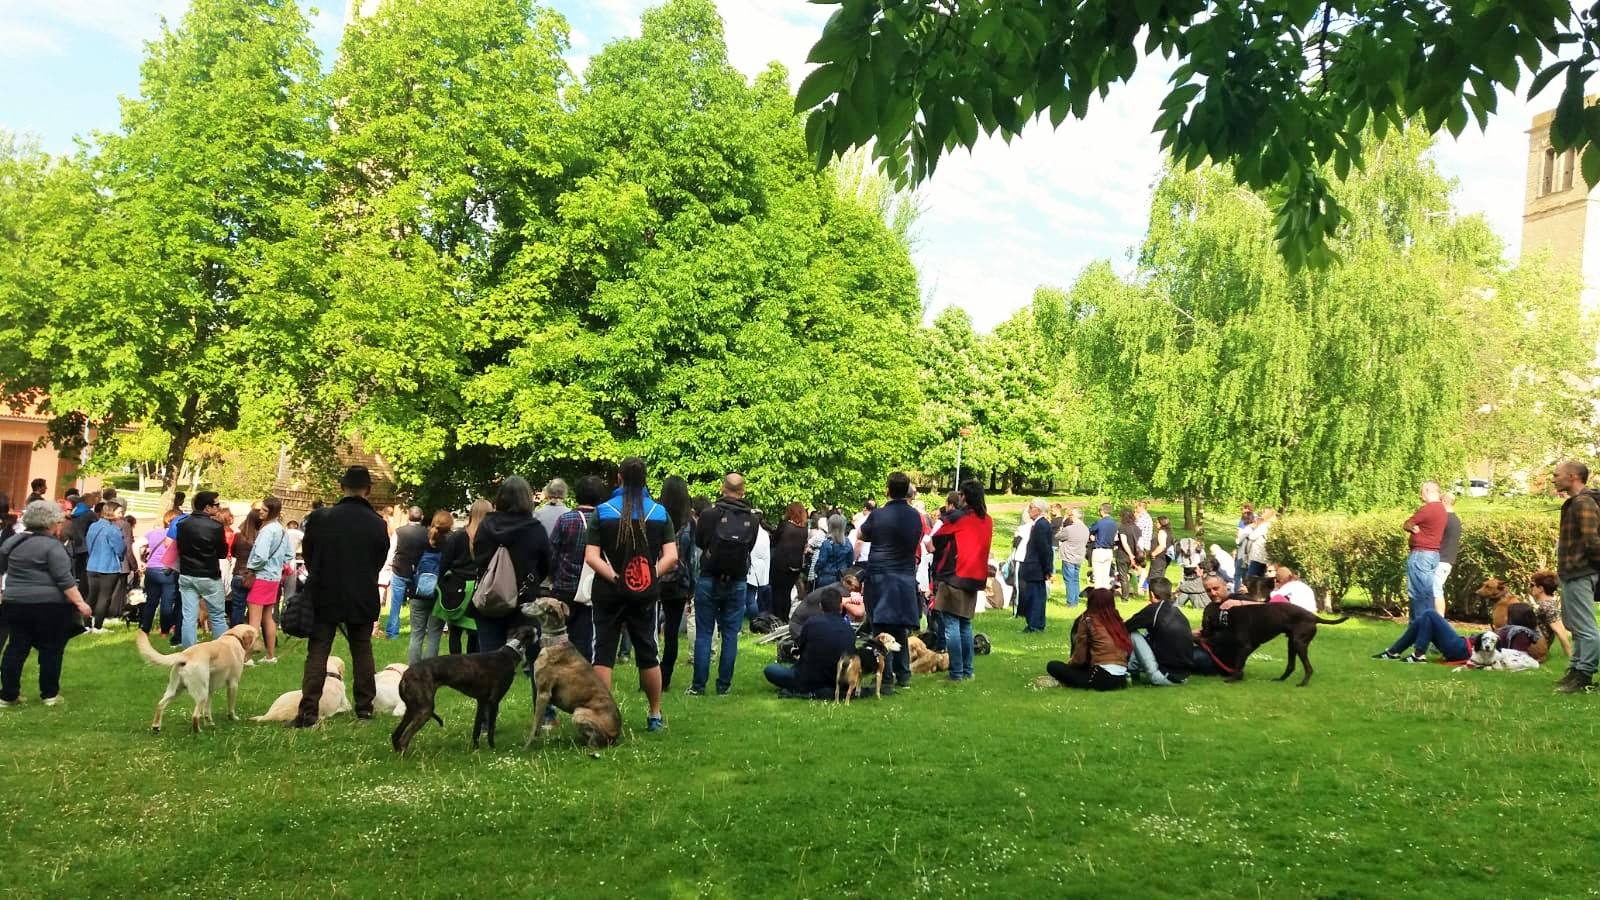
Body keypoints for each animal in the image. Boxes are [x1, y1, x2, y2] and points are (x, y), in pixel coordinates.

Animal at [390, 624, 534, 749]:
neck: (508, 654)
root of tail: (405, 674)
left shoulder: (482, 701)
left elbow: (476, 729)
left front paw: (476, 748)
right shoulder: (494, 701)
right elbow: (491, 728)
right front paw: (492, 748)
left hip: (412, 709)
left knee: (396, 735)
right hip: (424, 710)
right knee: (404, 739)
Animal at [1203, 598, 1344, 682]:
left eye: (1204, 621)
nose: (1201, 632)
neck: (1226, 616)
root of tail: (1314, 617)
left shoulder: (1246, 646)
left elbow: (1238, 663)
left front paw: (1233, 678)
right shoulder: (1250, 646)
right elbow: (1240, 663)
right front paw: (1238, 676)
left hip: (1298, 643)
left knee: (1309, 669)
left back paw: (1302, 683)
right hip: (1292, 643)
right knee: (1291, 666)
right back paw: (1280, 679)